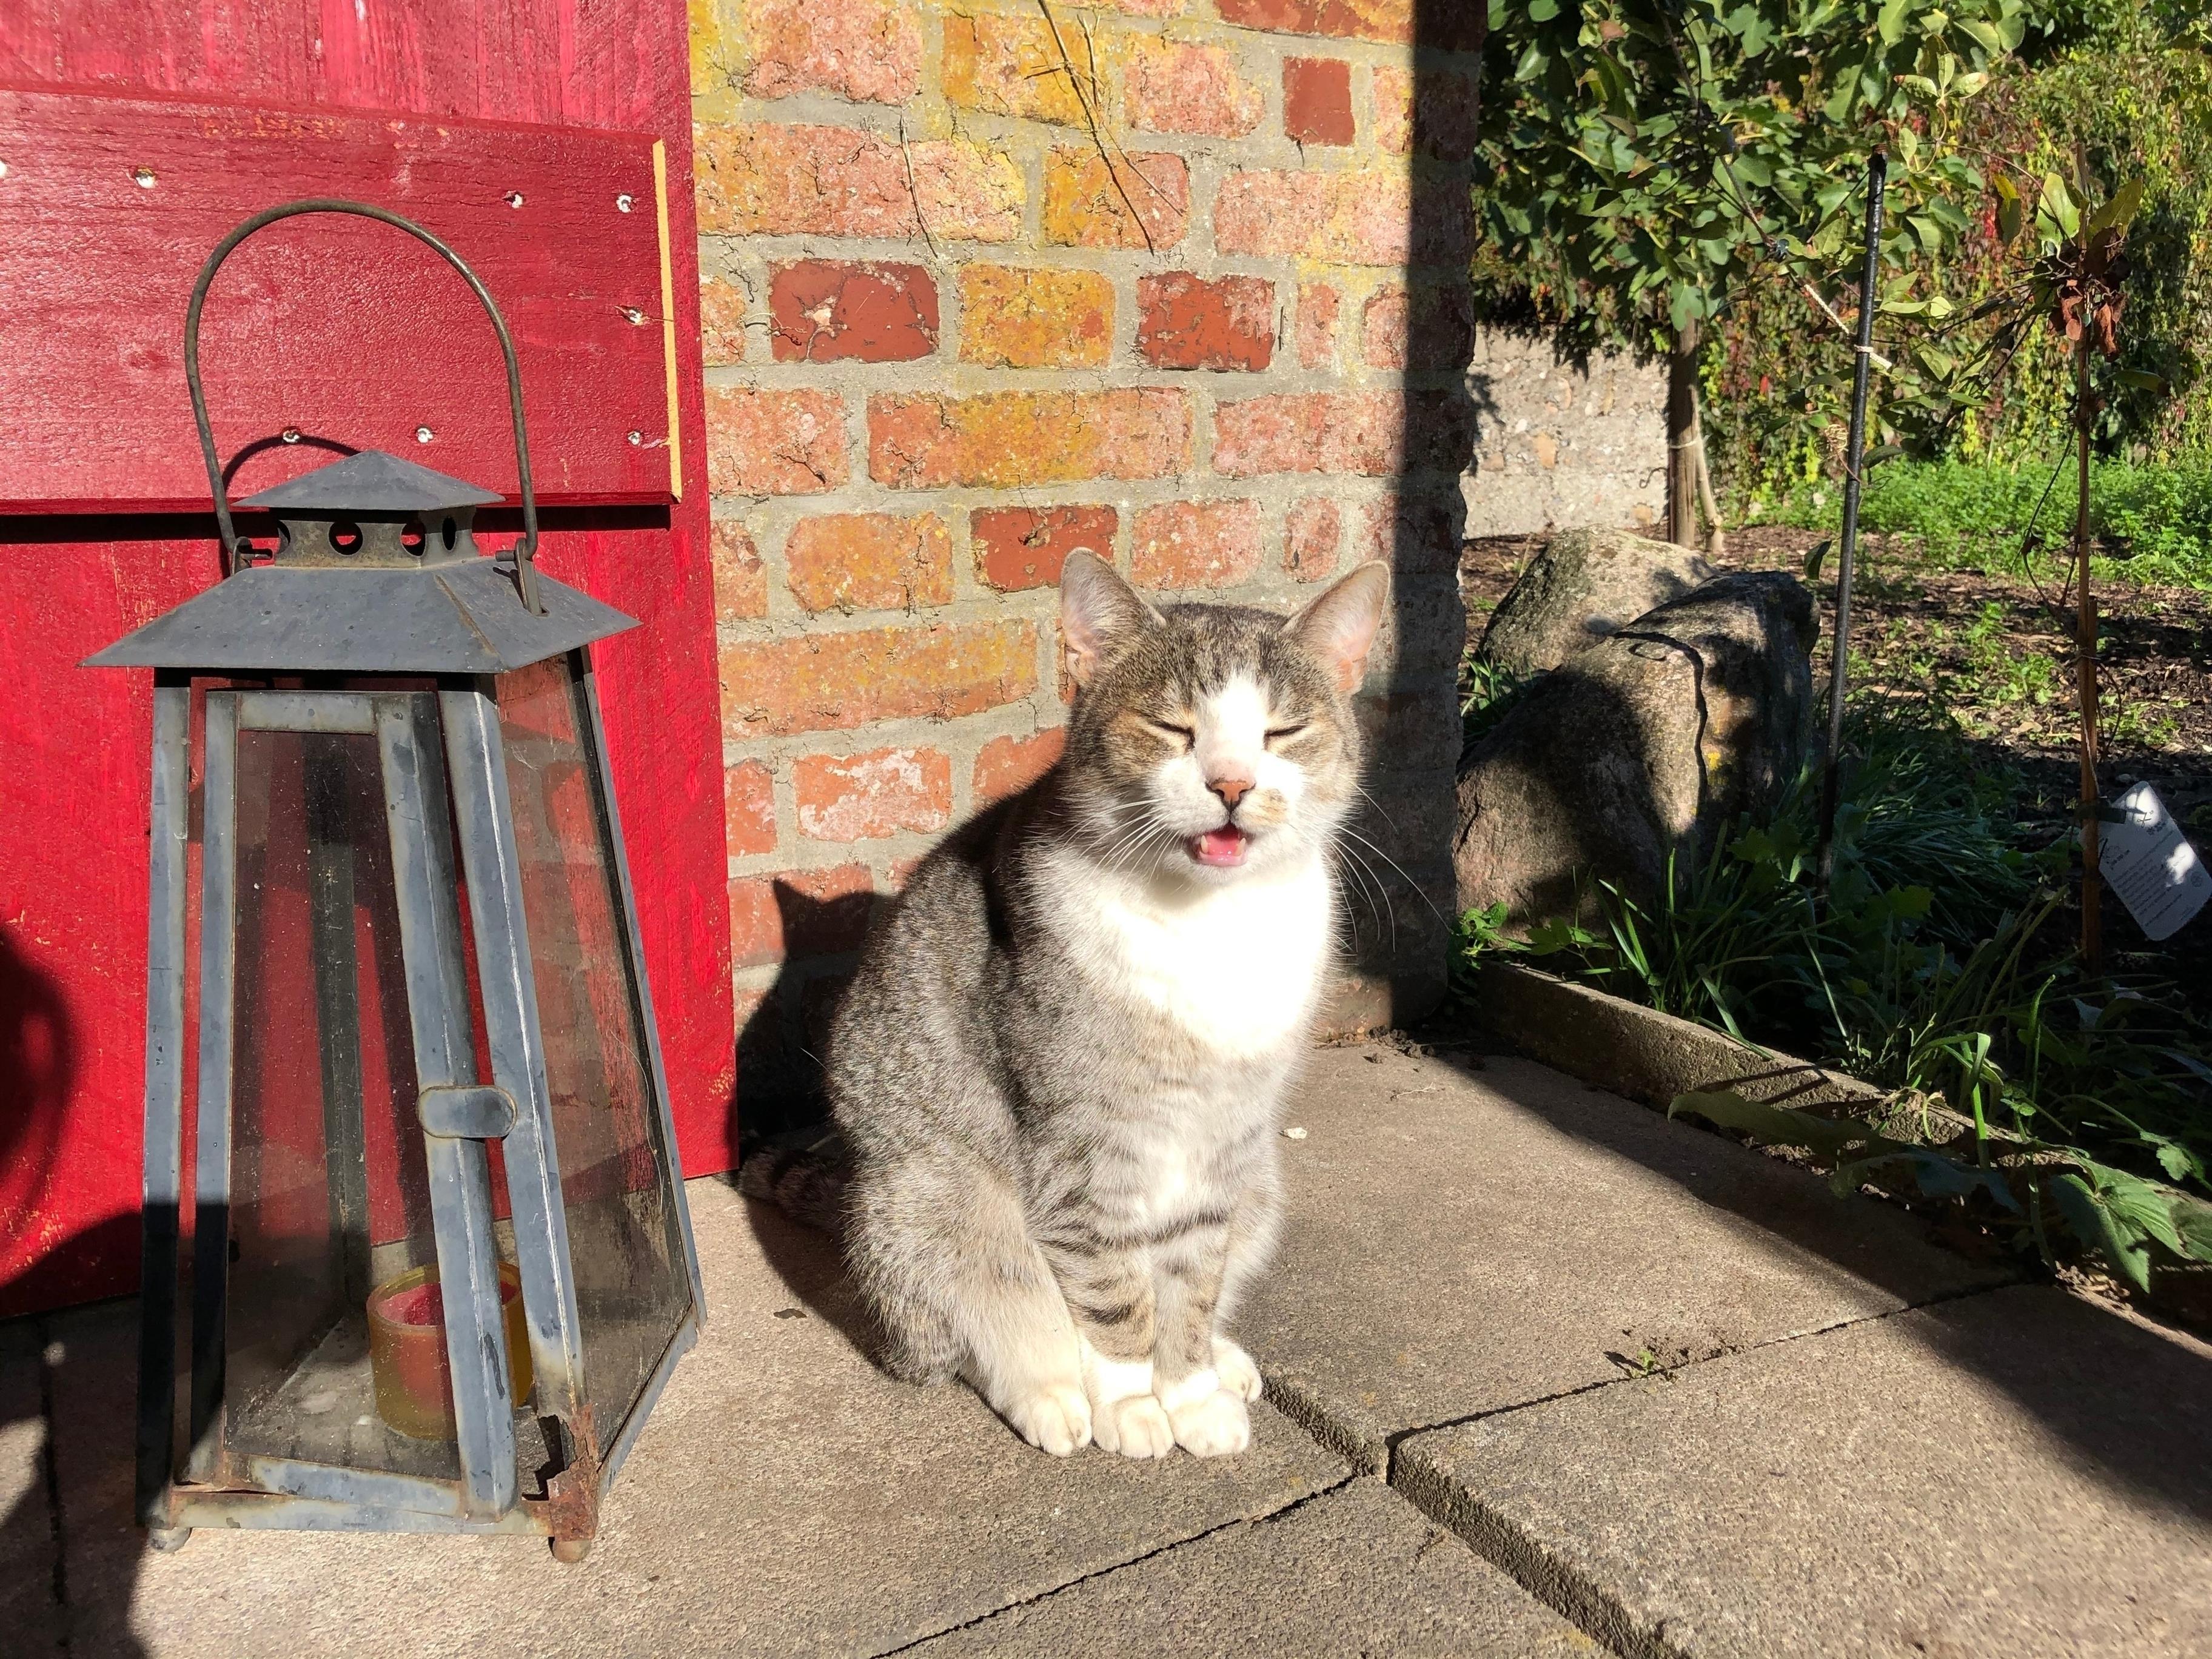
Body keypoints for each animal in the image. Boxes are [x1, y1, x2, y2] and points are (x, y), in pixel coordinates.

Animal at [821, 549, 1389, 1459]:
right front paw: (1130, 1404)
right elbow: (1112, 1290)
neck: (1209, 921)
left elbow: (1192, 1284)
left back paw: (1226, 1359)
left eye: (1282, 733)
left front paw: (1190, 1390)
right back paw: (1048, 1393)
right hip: (926, 1195)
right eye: (1172, 728)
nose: (1232, 783)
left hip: (1263, 1181)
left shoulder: (1224, 1145)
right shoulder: (1082, 1146)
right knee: (971, 1323)